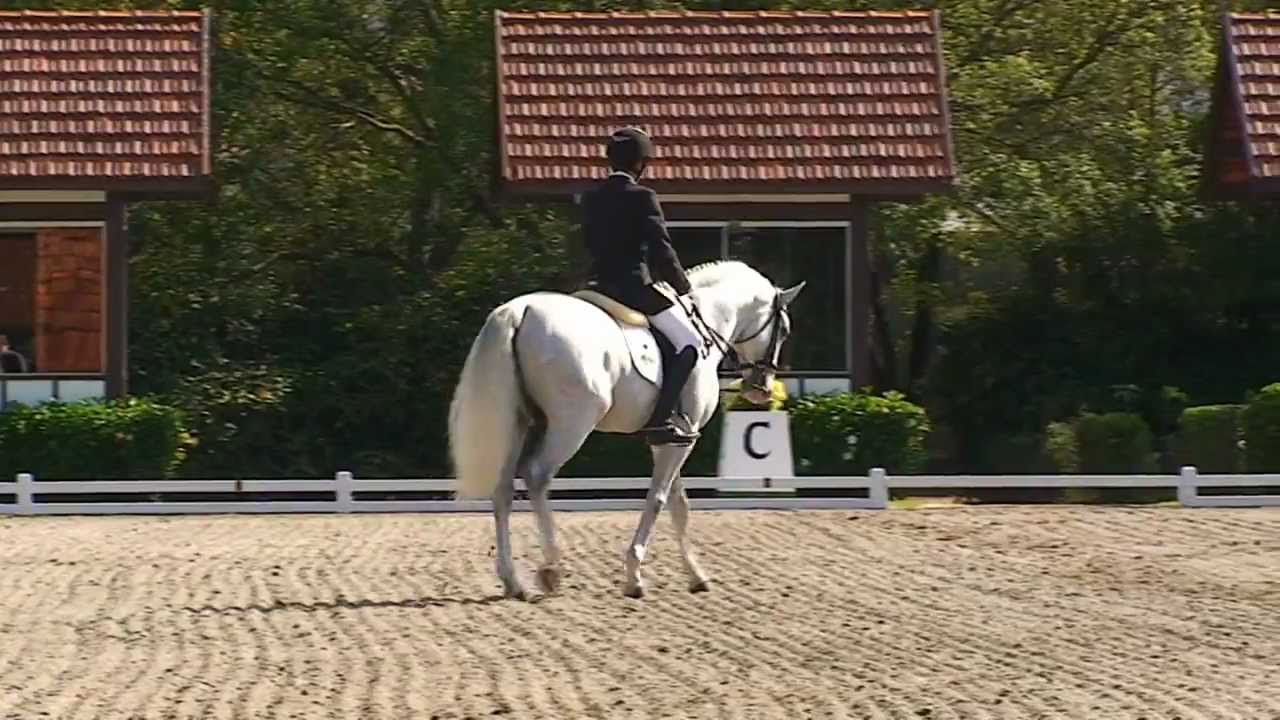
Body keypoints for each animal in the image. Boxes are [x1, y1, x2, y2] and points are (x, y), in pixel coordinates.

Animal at [447, 260, 805, 599]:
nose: (762, 388)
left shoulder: (670, 439)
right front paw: (634, 576)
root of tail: (521, 311)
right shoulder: (682, 440)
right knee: (537, 476)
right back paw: (551, 568)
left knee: (503, 489)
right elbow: (658, 499)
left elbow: (679, 504)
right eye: (784, 330)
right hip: (573, 423)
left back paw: (512, 582)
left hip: (519, 422)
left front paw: (695, 575)